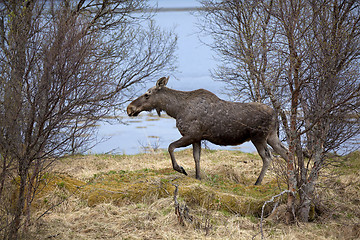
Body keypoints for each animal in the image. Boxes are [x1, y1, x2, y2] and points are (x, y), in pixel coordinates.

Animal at [126, 76, 286, 185]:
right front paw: (198, 177)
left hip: (258, 137)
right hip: (272, 136)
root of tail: (275, 115)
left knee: (267, 157)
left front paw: (180, 169)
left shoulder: (191, 135)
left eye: (147, 94)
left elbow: (170, 147)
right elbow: (196, 157)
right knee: (285, 152)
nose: (129, 108)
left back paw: (257, 182)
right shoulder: (197, 138)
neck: (176, 110)